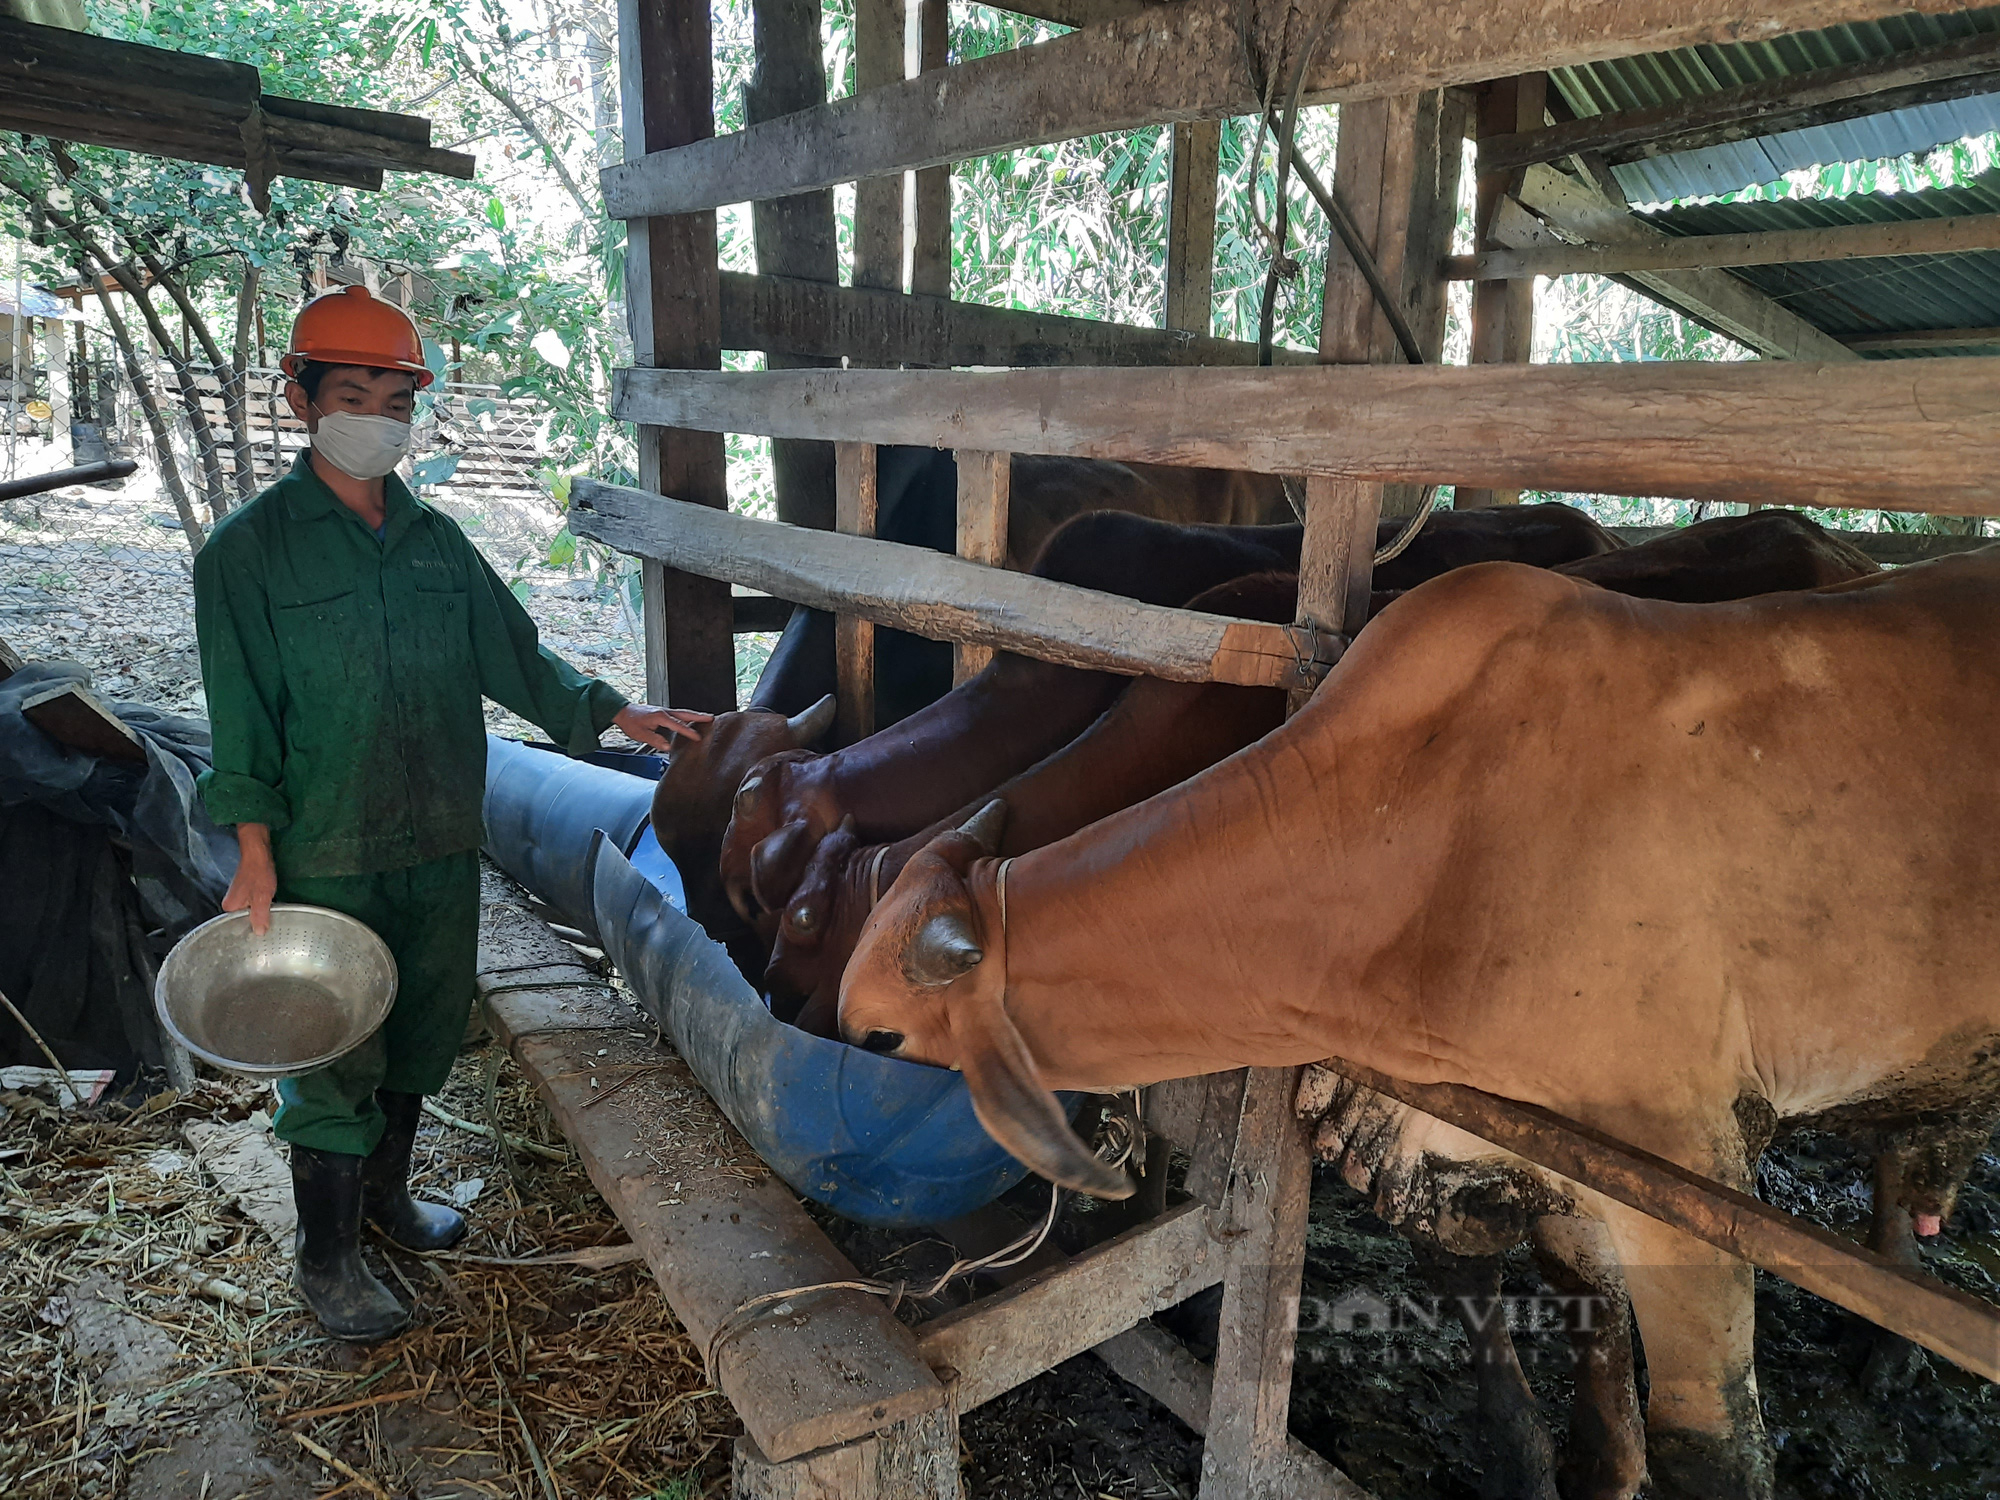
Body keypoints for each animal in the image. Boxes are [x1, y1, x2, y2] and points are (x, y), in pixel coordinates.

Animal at [836, 552, 2000, 1500]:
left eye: (882, 1038)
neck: (1423, 832)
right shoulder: (1531, 1154)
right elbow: (1579, 1317)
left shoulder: (1687, 1167)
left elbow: (1712, 1452)